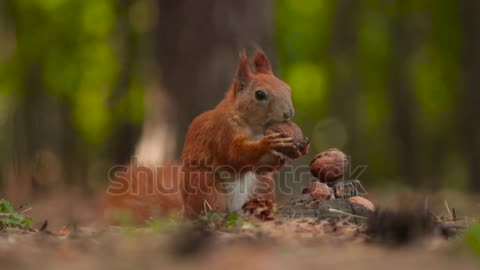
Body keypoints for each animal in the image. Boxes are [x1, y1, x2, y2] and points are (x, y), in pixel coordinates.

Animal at [106, 49, 298, 220]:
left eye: (288, 88)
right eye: (259, 94)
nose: (288, 113)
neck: (255, 128)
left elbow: (260, 166)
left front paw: (282, 155)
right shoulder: (221, 131)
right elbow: (233, 154)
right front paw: (268, 144)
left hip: (263, 185)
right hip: (205, 186)